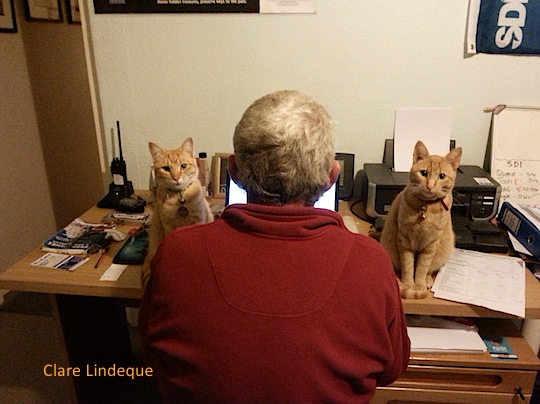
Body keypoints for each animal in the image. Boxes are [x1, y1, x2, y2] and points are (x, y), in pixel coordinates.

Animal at [141, 138, 213, 288]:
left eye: (183, 166)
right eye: (166, 169)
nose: (176, 178)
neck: (180, 198)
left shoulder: (198, 221)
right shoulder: (169, 226)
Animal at [380, 140, 460, 298]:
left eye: (442, 176)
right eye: (424, 173)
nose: (430, 186)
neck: (426, 208)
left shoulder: (430, 245)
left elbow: (423, 268)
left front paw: (419, 285)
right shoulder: (404, 241)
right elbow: (408, 267)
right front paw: (408, 285)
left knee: (431, 269)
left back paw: (428, 281)